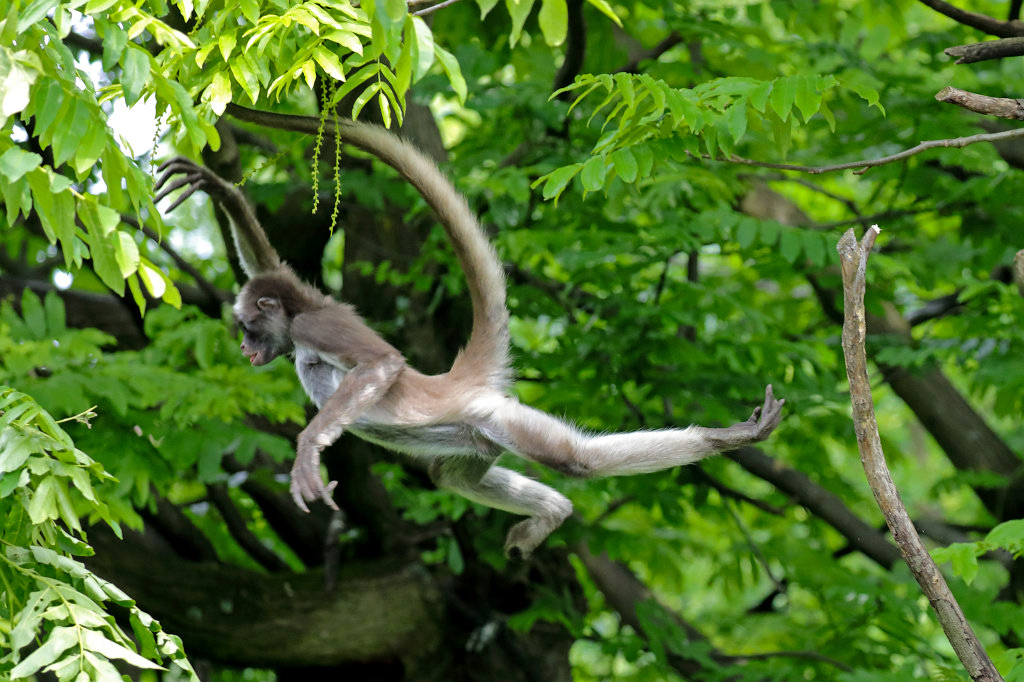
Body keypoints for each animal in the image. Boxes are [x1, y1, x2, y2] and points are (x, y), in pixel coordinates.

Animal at [154, 114, 785, 559]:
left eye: (246, 327)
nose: (244, 348)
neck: (302, 320)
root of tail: (456, 380)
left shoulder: (316, 322)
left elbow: (381, 362)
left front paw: (308, 450)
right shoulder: (305, 298)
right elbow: (270, 261)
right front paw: (222, 190)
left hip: (493, 415)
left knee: (574, 460)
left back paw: (719, 439)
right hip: (472, 441)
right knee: (448, 474)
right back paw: (555, 511)